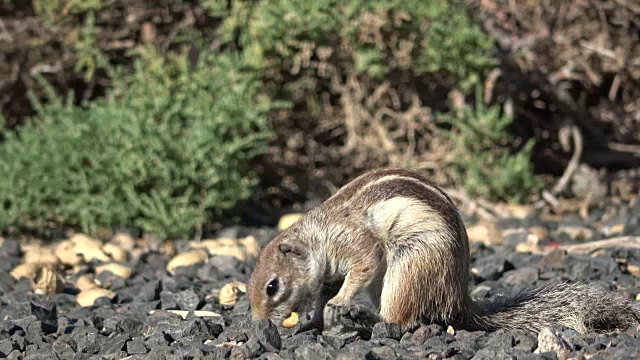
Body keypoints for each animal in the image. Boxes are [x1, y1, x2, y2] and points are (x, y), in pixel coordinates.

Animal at [246, 167, 640, 334]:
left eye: (272, 287)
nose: (260, 322)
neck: (318, 237)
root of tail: (459, 300)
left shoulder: (355, 244)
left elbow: (365, 265)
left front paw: (340, 303)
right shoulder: (327, 274)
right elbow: (322, 295)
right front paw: (313, 319)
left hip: (408, 269)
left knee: (400, 319)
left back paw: (365, 317)